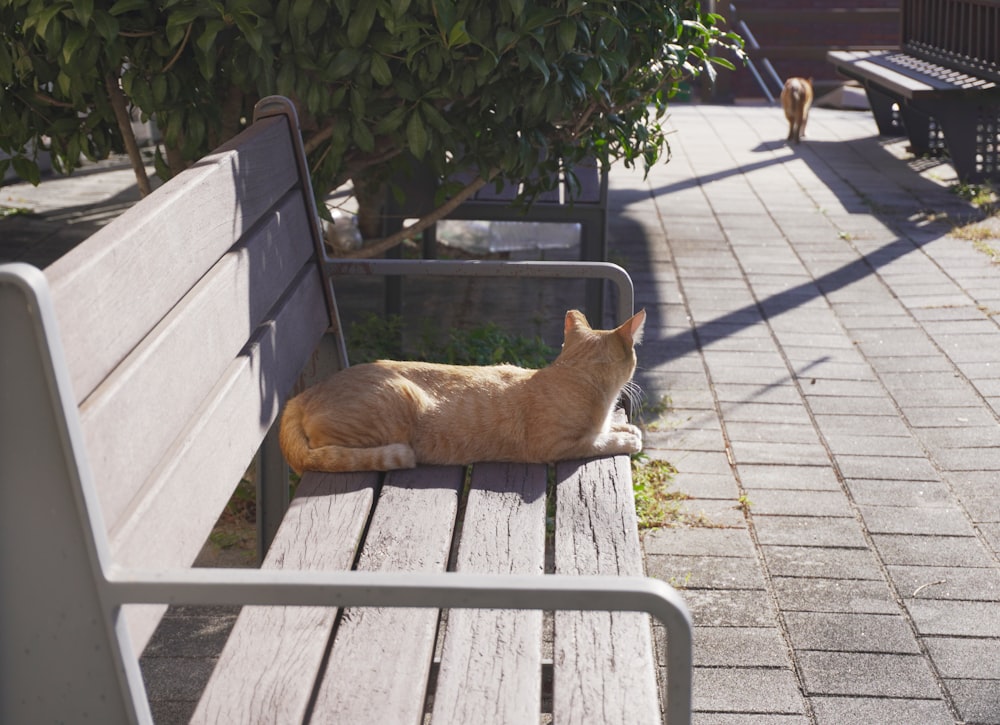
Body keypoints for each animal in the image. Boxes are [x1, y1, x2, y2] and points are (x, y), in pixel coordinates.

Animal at [280, 308, 648, 472]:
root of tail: (305, 393)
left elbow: (611, 429)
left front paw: (626, 428)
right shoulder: (558, 446)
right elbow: (601, 441)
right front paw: (628, 440)